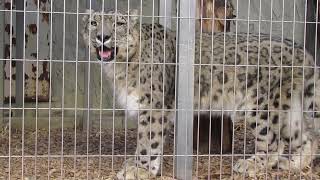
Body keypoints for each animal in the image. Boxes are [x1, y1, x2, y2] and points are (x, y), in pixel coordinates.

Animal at [81, 9, 318, 178]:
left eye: (119, 23)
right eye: (93, 23)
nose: (103, 36)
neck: (119, 68)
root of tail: (303, 51)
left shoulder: (153, 105)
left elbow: (149, 139)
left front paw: (141, 170)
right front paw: (135, 164)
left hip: (261, 106)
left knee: (273, 141)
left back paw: (250, 164)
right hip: (289, 108)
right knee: (305, 137)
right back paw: (293, 164)